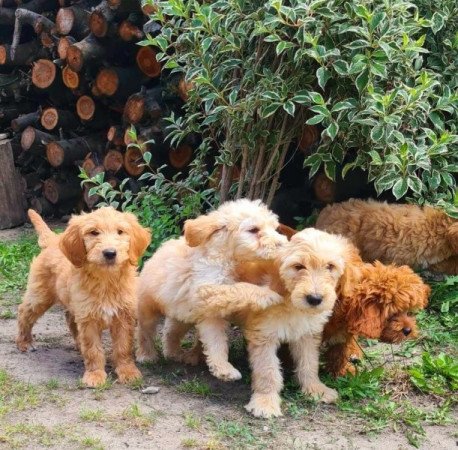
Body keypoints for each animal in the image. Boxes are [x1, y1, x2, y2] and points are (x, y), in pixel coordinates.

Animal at [16, 207, 150, 386]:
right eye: (94, 232)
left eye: (120, 232)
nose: (110, 253)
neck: (106, 280)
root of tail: (53, 241)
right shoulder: (88, 319)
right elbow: (93, 349)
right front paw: (95, 375)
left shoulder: (124, 316)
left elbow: (123, 347)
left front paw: (127, 371)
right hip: (40, 295)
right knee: (24, 313)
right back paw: (24, 342)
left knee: (70, 320)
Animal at [136, 199, 286, 382]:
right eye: (253, 230)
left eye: (274, 228)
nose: (282, 244)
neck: (227, 258)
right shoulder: (206, 290)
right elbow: (238, 288)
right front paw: (269, 295)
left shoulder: (211, 313)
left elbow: (216, 342)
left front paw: (224, 370)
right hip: (148, 307)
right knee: (145, 332)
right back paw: (146, 355)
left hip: (181, 315)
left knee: (170, 333)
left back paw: (174, 353)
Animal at [198, 229, 354, 418]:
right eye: (298, 266)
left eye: (330, 266)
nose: (315, 299)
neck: (291, 302)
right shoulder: (264, 335)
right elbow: (268, 371)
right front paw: (265, 402)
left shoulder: (307, 335)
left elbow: (309, 363)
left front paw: (315, 389)